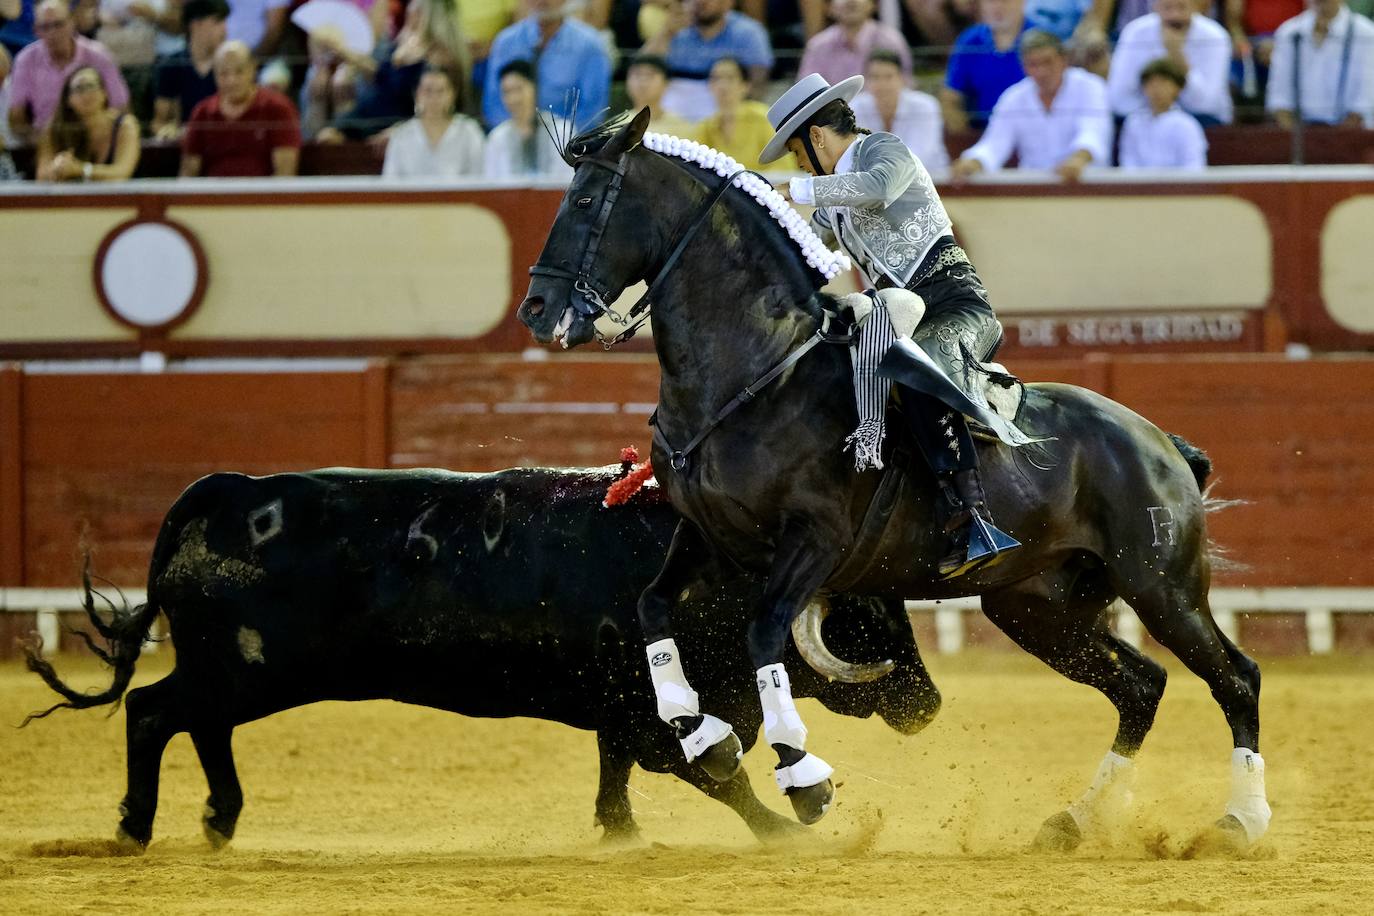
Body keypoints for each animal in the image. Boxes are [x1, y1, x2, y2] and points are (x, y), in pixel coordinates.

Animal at [24, 469, 945, 851]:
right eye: (866, 615)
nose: (929, 704)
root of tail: (213, 494)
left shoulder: (620, 708)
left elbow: (614, 766)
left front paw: (617, 830)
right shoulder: (666, 721)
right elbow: (715, 775)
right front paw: (786, 833)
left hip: (235, 673)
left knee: (193, 723)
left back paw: (218, 819)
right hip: (244, 670)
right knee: (153, 712)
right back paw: (135, 827)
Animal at [516, 112, 1275, 851]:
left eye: (584, 200)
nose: (536, 309)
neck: (757, 373)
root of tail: (1158, 441)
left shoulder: (815, 541)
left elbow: (764, 633)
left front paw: (803, 777)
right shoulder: (709, 536)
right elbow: (652, 609)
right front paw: (704, 737)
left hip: (1161, 586)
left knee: (1236, 678)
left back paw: (1240, 823)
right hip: (1038, 608)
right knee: (1142, 686)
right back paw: (1071, 822)